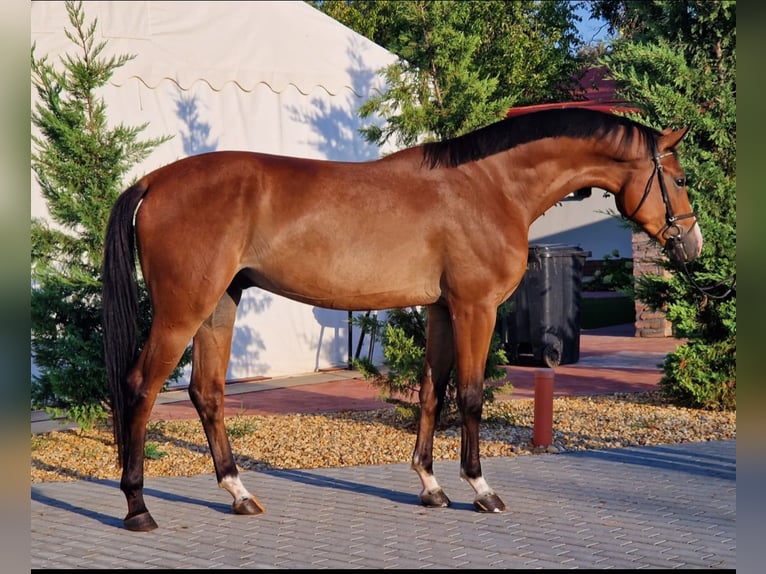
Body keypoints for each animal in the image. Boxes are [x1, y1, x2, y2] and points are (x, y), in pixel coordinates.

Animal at [102, 107, 704, 532]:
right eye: (676, 179)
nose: (693, 245)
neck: (489, 186)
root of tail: (154, 181)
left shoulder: (441, 309)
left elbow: (434, 392)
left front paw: (430, 486)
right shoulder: (475, 307)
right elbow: (471, 395)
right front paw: (480, 490)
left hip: (220, 304)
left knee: (206, 392)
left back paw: (240, 495)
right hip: (183, 310)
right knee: (139, 387)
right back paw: (138, 507)